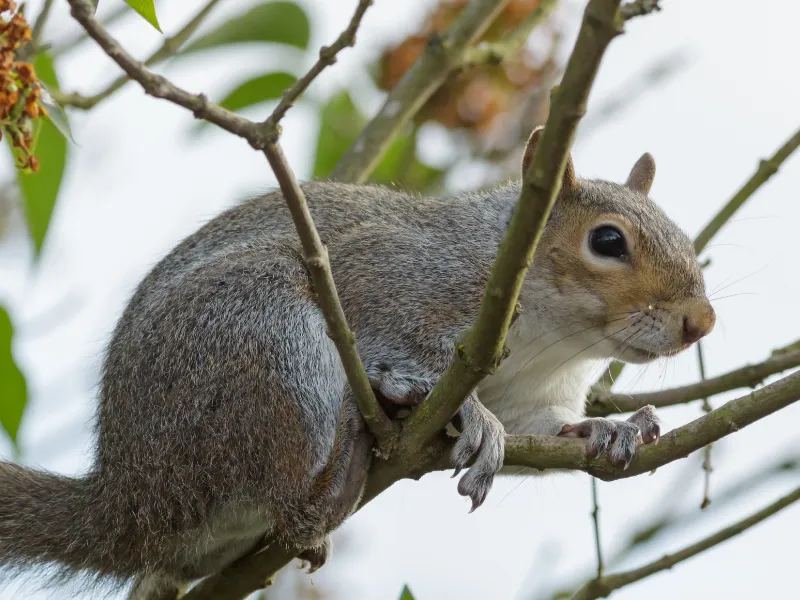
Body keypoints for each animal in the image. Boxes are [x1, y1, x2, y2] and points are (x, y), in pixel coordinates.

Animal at [0, 127, 714, 598]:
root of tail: (127, 492)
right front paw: (457, 407)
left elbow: (539, 434)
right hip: (263, 338)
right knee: (291, 500)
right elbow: (394, 340)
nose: (700, 323)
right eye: (607, 241)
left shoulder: (536, 396)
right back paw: (342, 465)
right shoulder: (389, 277)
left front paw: (606, 428)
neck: (553, 339)